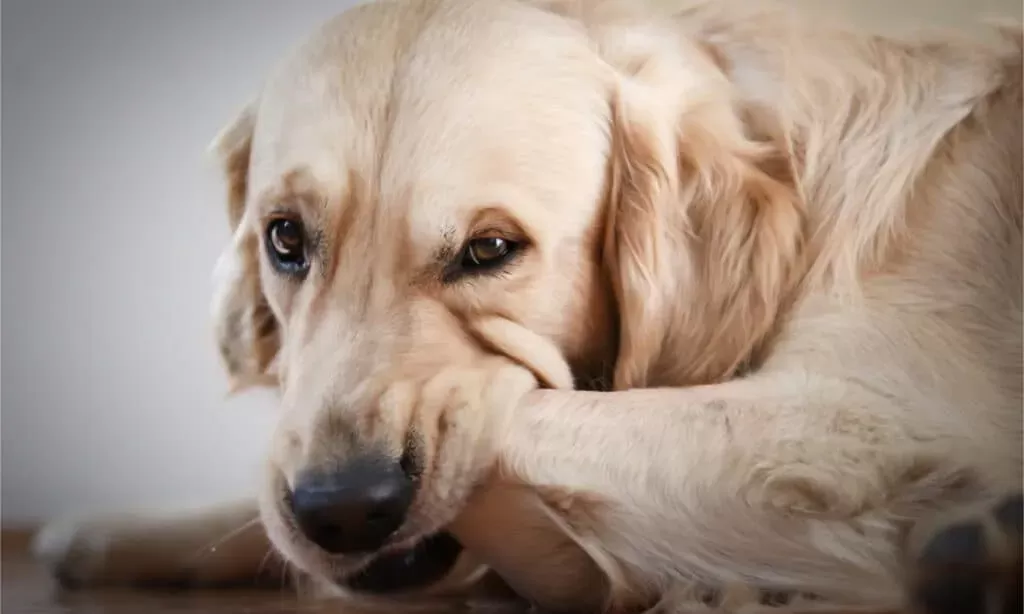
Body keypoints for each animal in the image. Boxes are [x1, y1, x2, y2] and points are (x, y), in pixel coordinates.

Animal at [32, 1, 1024, 614]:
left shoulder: (871, 422)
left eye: (490, 250)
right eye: (285, 239)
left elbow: (524, 418)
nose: (340, 509)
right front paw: (123, 533)